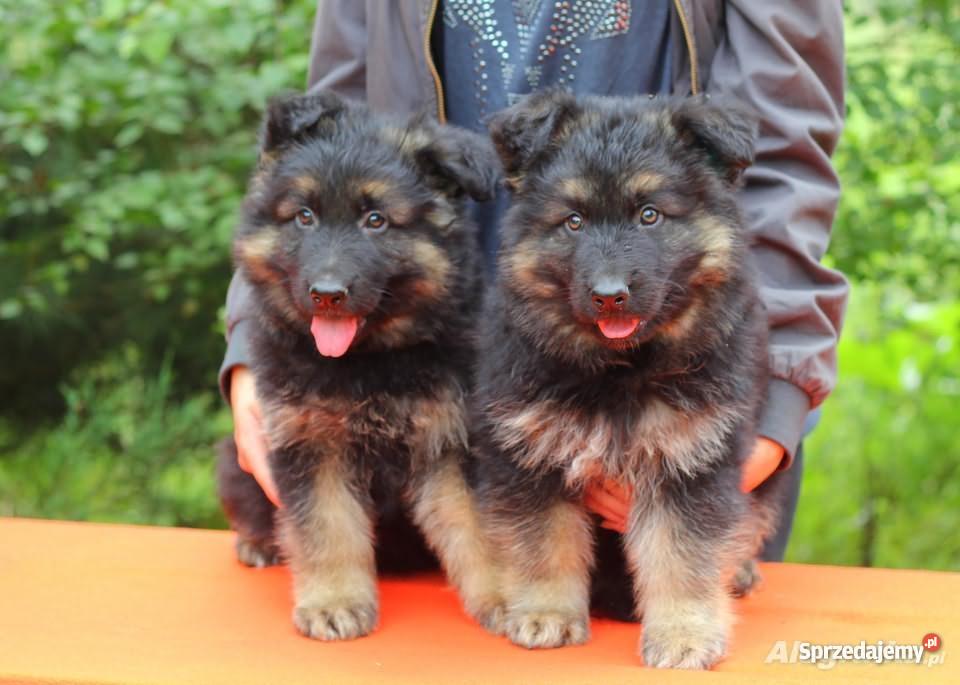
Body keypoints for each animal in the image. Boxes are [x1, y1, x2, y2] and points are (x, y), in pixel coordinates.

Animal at [218, 91, 502, 640]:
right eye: (304, 216)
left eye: (376, 221)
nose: (327, 295)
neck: (368, 363)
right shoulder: (311, 444)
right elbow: (328, 529)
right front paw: (334, 602)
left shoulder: (453, 441)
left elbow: (481, 525)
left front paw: (512, 595)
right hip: (237, 455)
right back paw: (259, 542)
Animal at [464, 92, 788, 668]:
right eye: (573, 221)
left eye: (649, 215)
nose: (609, 295)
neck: (619, 370)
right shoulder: (530, 454)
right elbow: (545, 543)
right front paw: (547, 614)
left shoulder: (691, 460)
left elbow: (682, 556)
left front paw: (683, 634)